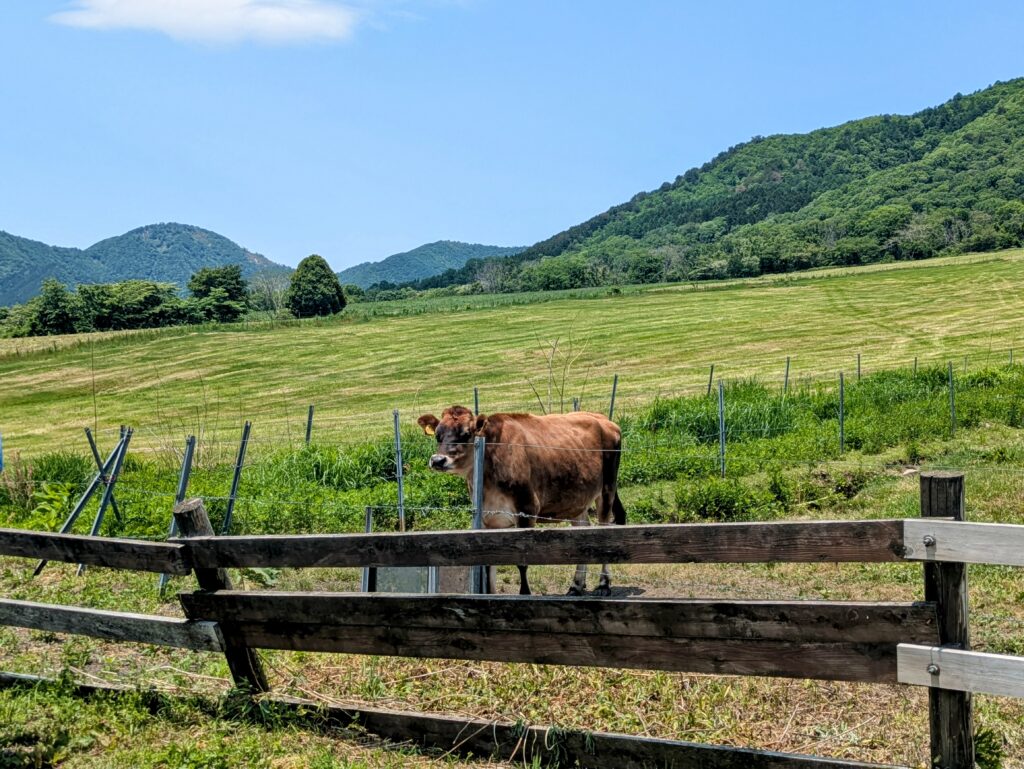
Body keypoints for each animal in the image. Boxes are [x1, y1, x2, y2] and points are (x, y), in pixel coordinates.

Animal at [416, 405, 626, 596]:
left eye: (466, 434)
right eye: (438, 435)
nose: (438, 460)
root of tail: (603, 419)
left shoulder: (527, 509)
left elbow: (522, 562)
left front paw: (525, 594)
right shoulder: (487, 520)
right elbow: (488, 564)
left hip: (607, 489)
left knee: (605, 530)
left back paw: (603, 585)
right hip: (576, 500)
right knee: (584, 530)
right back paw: (576, 586)